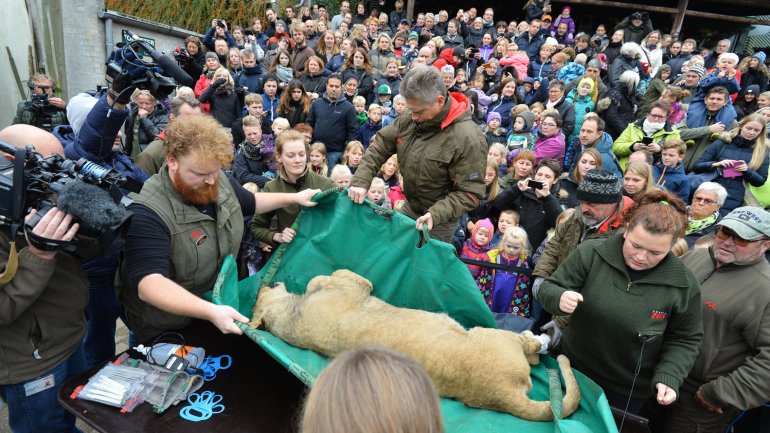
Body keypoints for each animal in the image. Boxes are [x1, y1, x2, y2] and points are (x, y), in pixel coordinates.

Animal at [249, 268, 580, 420]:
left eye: (258, 296)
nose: (264, 282)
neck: (292, 317)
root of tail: (500, 396)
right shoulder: (354, 284)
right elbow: (324, 278)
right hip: (493, 336)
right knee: (531, 350)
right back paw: (541, 339)